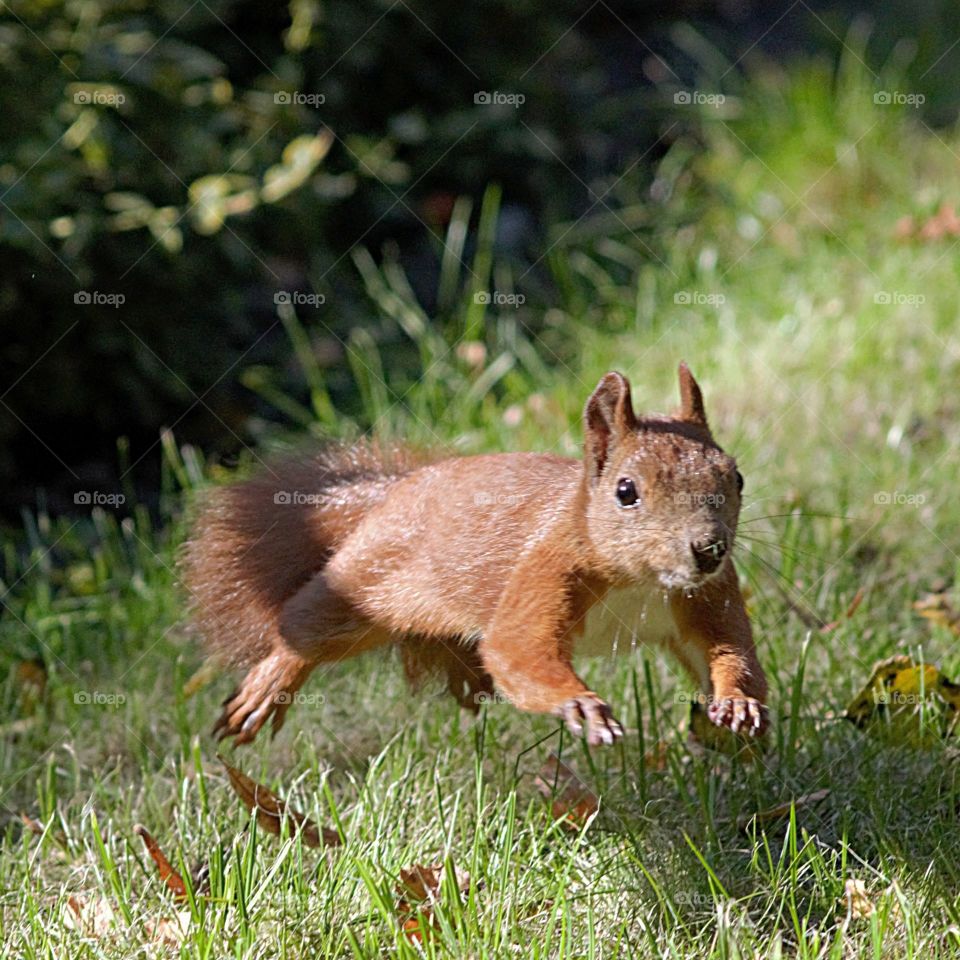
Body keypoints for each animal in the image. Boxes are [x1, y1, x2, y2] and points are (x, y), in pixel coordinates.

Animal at [181, 363, 768, 747]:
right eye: (626, 491)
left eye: (737, 476)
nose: (708, 549)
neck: (641, 580)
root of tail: (389, 495)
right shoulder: (545, 571)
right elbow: (517, 648)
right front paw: (578, 703)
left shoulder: (707, 598)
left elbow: (729, 652)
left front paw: (738, 702)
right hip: (360, 585)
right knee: (304, 629)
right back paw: (270, 685)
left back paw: (466, 675)